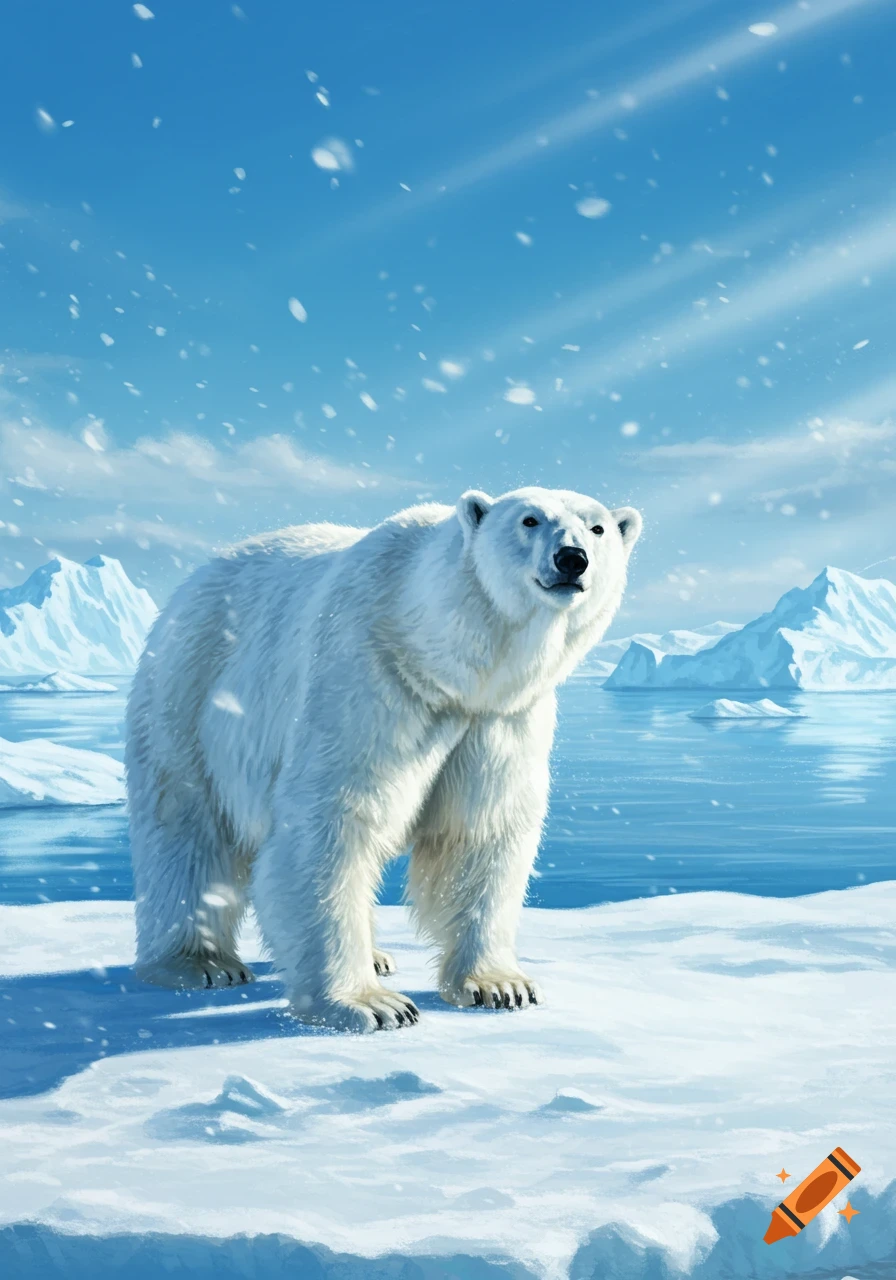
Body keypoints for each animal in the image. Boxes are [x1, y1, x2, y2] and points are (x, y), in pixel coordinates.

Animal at [125, 486, 642, 1031]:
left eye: (597, 528)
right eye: (529, 520)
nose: (572, 559)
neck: (441, 654)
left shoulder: (497, 719)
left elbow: (480, 829)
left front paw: (500, 985)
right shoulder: (368, 678)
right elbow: (331, 823)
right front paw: (371, 1005)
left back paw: (376, 955)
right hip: (189, 695)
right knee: (186, 829)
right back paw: (199, 963)